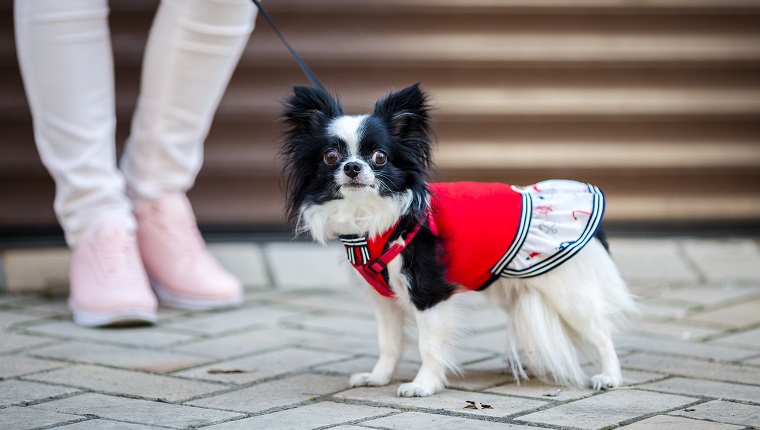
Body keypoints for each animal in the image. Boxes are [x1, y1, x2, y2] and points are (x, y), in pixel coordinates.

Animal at [280, 83, 636, 396]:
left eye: (379, 157)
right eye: (330, 157)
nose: (353, 167)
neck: (371, 217)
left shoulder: (428, 293)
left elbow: (428, 344)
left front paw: (424, 385)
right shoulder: (386, 301)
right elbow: (388, 343)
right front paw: (379, 377)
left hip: (566, 291)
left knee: (600, 331)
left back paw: (610, 377)